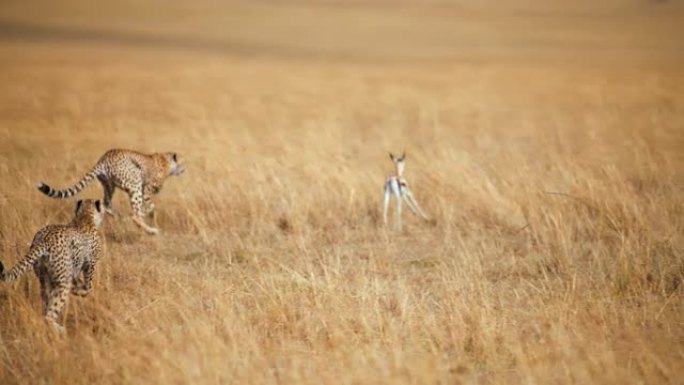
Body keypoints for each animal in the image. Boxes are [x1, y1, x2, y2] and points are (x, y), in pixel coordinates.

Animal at [0, 200, 105, 332]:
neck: (85, 216)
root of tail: (46, 238)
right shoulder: (90, 263)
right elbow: (88, 286)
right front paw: (80, 291)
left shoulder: (73, 270)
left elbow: (78, 281)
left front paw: (76, 288)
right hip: (62, 283)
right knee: (49, 315)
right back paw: (60, 329)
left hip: (45, 278)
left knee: (46, 305)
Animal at [37, 148, 184, 234]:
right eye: (181, 163)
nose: (184, 169)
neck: (165, 160)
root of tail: (104, 157)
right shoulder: (146, 188)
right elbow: (151, 205)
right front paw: (147, 212)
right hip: (134, 181)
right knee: (134, 216)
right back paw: (151, 230)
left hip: (109, 185)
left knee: (106, 203)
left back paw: (119, 217)